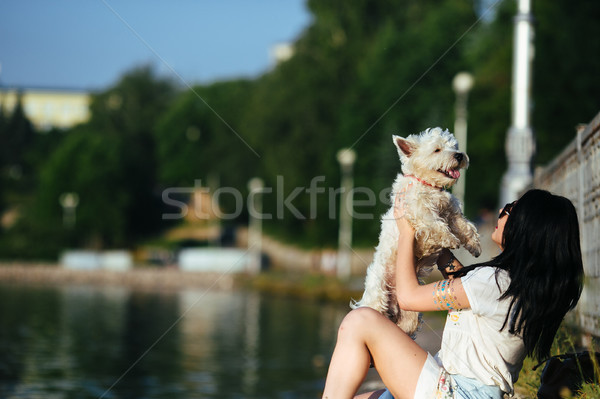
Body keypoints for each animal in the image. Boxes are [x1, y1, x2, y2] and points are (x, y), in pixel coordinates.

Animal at [352, 126, 482, 336]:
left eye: (454, 146)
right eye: (437, 150)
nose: (459, 155)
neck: (430, 186)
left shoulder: (451, 211)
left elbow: (465, 225)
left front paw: (474, 245)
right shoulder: (418, 209)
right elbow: (435, 223)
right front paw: (449, 238)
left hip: (410, 316)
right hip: (378, 295)